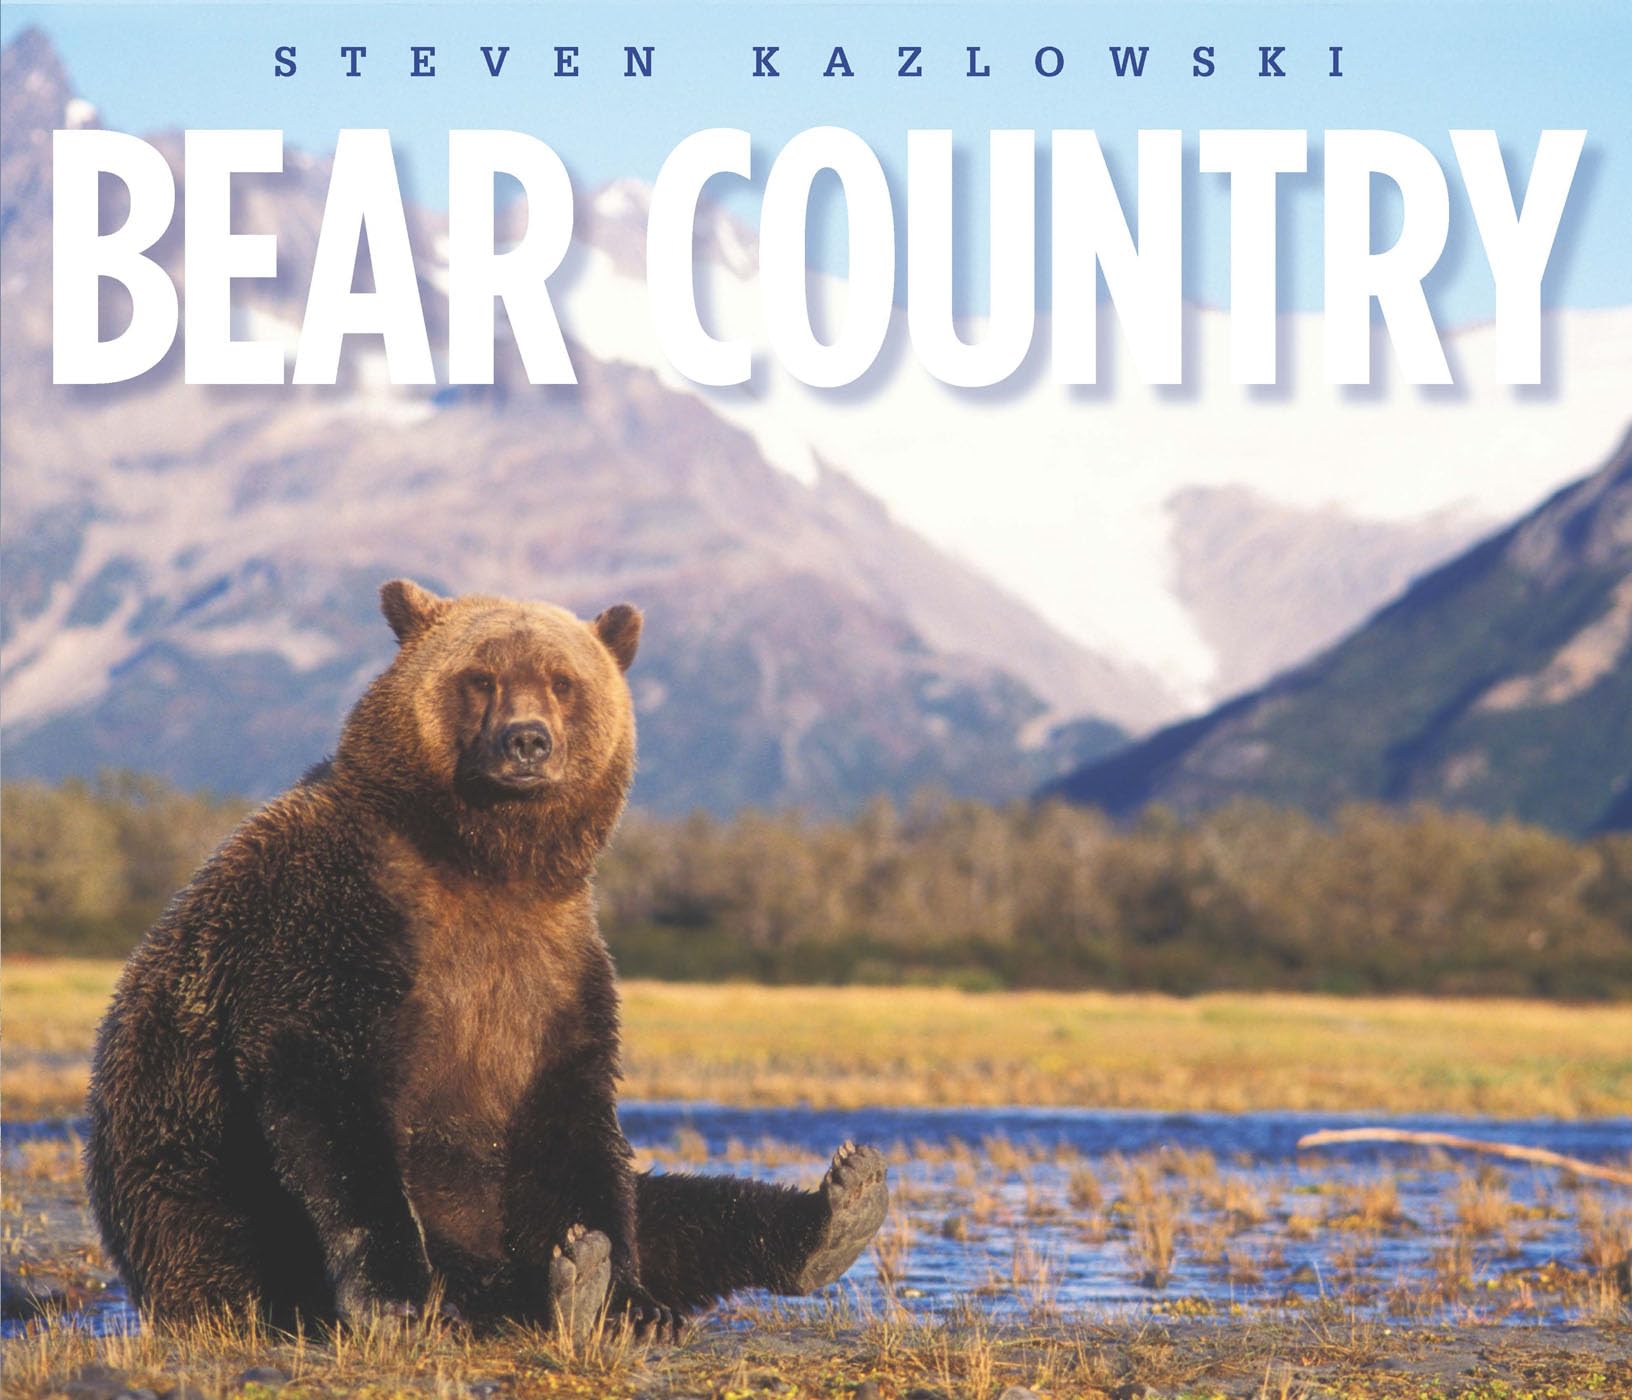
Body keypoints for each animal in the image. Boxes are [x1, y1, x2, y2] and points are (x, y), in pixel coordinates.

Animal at [84, 579, 888, 1339]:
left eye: (563, 680)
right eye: (481, 677)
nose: (526, 741)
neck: (484, 864)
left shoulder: (557, 966)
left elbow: (574, 1124)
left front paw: (625, 1299)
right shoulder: (338, 916)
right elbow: (325, 1091)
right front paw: (401, 1297)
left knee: (679, 1205)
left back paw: (836, 1208)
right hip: (214, 1203)